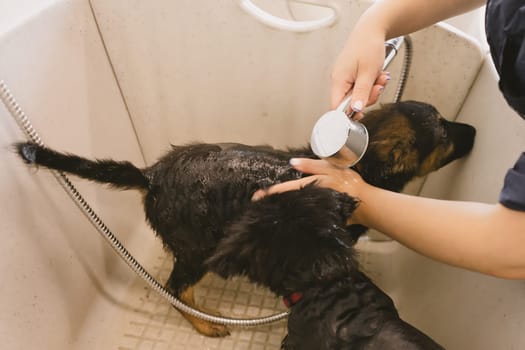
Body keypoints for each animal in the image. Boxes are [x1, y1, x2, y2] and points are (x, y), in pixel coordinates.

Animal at [16, 100, 474, 340]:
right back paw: (204, 324)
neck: (361, 169)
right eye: (444, 132)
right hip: (196, 248)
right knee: (176, 289)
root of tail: (151, 176)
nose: (473, 131)